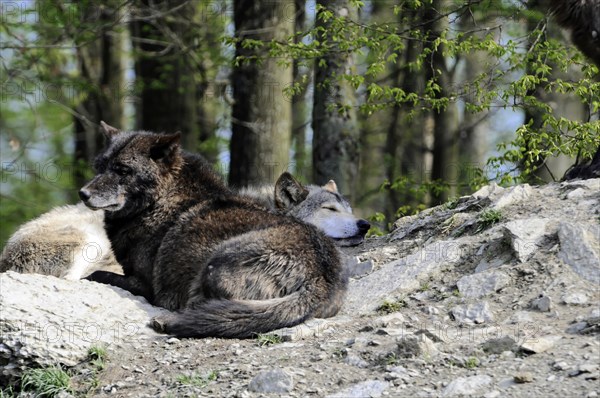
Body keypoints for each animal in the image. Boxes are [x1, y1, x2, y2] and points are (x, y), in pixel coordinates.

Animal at [78, 122, 346, 338]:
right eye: (99, 167)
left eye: (122, 170)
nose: (83, 193)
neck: (159, 202)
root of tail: (321, 276)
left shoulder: (144, 286)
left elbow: (95, 274)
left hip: (215, 266)